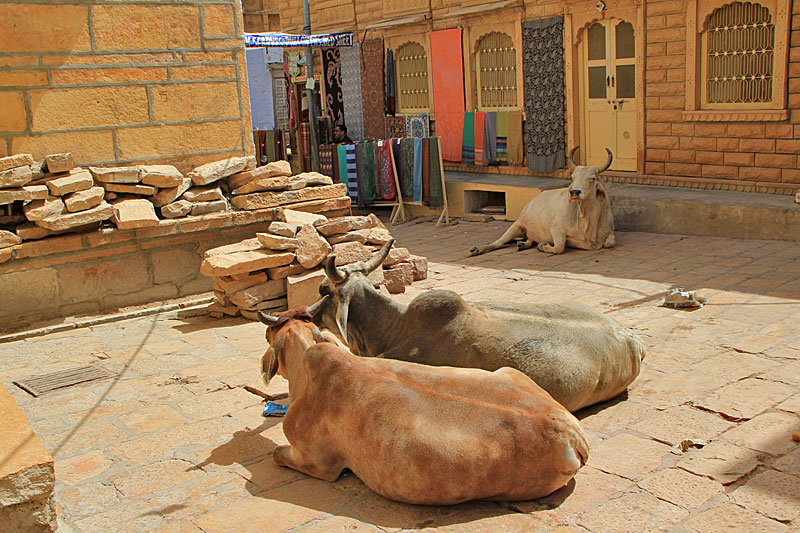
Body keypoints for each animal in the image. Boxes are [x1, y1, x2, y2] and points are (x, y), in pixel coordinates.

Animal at [260, 308, 592, 502]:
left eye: (269, 335)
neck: (307, 369)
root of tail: (572, 433)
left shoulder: (316, 462)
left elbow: (276, 455)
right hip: (509, 372)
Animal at [466, 144, 616, 255]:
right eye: (573, 177)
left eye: (592, 178)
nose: (574, 192)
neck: (586, 220)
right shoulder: (556, 230)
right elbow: (559, 248)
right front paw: (543, 246)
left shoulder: (610, 232)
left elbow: (610, 242)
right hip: (517, 224)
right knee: (499, 242)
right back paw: (478, 249)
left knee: (529, 239)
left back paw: (522, 244)